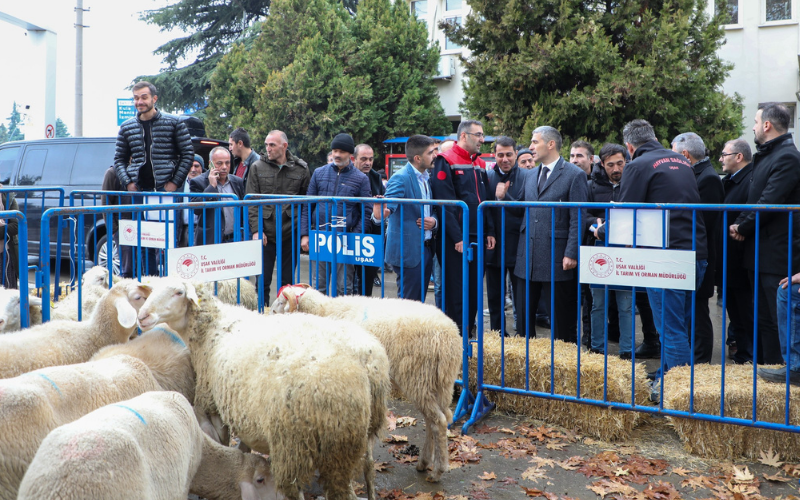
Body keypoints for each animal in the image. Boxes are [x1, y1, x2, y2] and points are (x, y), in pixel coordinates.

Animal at [137, 278, 390, 500]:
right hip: (353, 438)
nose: (142, 316)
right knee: (367, 467)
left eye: (178, 292)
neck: (214, 326)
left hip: (294, 444)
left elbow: (223, 443)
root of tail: (366, 364)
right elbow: (244, 447)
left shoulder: (214, 406)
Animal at [272, 284, 462, 482]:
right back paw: (424, 462)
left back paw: (438, 470)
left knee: (438, 421)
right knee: (433, 420)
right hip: (437, 383)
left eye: (278, 305)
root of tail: (449, 338)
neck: (323, 311)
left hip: (419, 377)